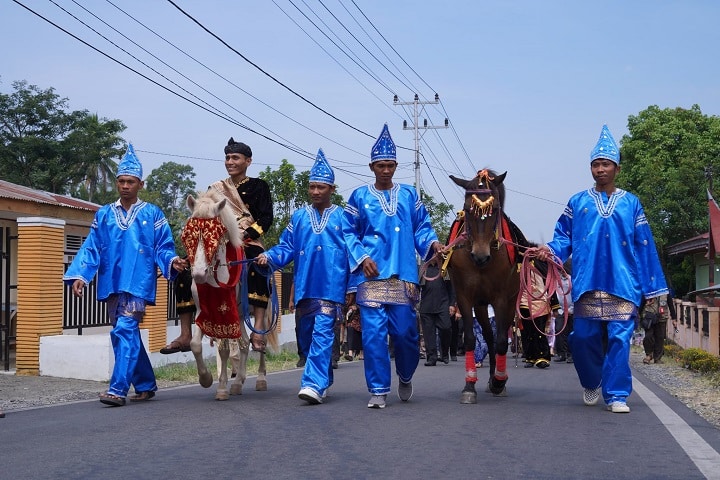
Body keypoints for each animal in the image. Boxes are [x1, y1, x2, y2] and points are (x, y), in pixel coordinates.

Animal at [181, 189, 278, 400]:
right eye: (188, 235)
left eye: (215, 236)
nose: (198, 274)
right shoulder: (204, 313)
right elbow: (195, 344)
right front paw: (207, 379)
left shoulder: (225, 313)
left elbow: (224, 349)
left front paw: (222, 388)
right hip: (240, 315)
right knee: (244, 344)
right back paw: (238, 382)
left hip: (264, 311)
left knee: (260, 341)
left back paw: (260, 379)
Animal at [444, 171, 528, 404]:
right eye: (468, 209)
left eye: (495, 209)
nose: (480, 256)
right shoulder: (464, 297)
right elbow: (472, 339)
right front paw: (469, 387)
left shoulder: (501, 299)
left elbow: (501, 341)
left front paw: (499, 381)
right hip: (481, 306)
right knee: (488, 337)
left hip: (509, 301)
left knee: (498, 336)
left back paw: (498, 380)